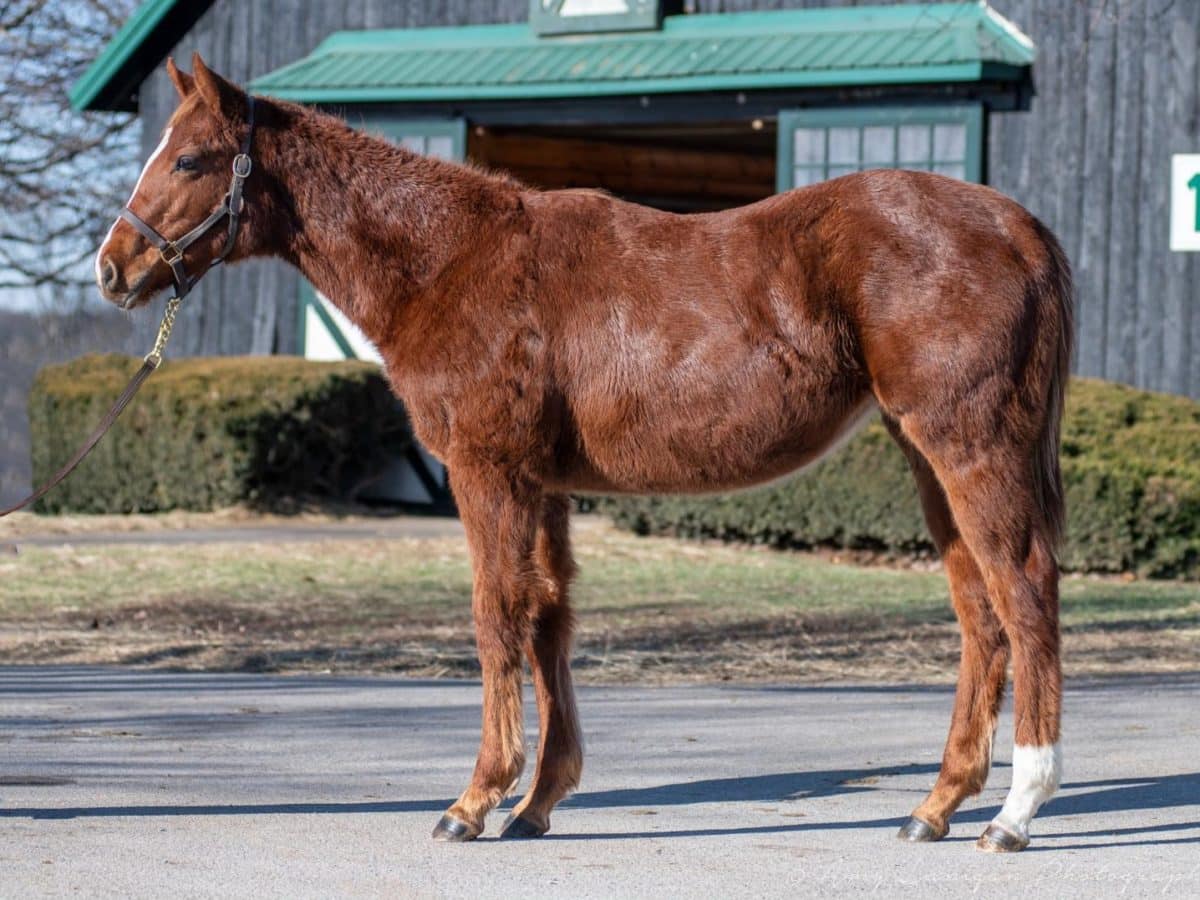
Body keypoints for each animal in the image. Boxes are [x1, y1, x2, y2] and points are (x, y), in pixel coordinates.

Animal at [96, 54, 1070, 854]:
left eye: (190, 160)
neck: (453, 260)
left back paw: (1017, 811)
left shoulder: (487, 473)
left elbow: (497, 618)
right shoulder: (544, 486)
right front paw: (536, 803)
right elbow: (549, 622)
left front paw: (474, 802)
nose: (112, 270)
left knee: (1023, 592)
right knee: (980, 612)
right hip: (928, 457)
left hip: (970, 446)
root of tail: (1017, 224)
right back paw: (936, 807)